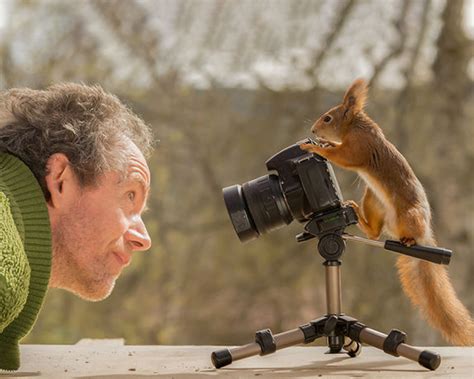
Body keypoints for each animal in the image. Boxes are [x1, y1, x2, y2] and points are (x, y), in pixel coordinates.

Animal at [300, 78, 474, 346]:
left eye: (328, 118)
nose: (314, 131)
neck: (355, 126)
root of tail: (422, 234)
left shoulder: (358, 147)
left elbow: (342, 156)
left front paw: (316, 148)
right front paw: (324, 143)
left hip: (409, 215)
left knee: (401, 233)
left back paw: (409, 240)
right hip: (373, 201)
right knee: (373, 234)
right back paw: (355, 210)